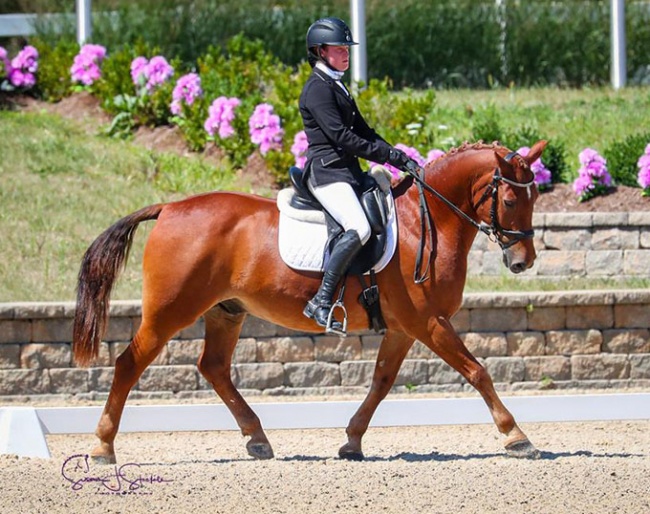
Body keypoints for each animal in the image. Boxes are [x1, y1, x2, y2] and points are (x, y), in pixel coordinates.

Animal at [73, 139, 544, 460]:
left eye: (535, 196)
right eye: (509, 199)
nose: (523, 262)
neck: (423, 223)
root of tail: (169, 207)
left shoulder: (404, 328)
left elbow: (382, 382)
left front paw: (352, 441)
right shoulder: (428, 323)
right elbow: (477, 371)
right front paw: (516, 436)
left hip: (226, 312)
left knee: (214, 368)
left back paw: (258, 439)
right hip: (170, 311)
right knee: (128, 364)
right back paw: (103, 447)